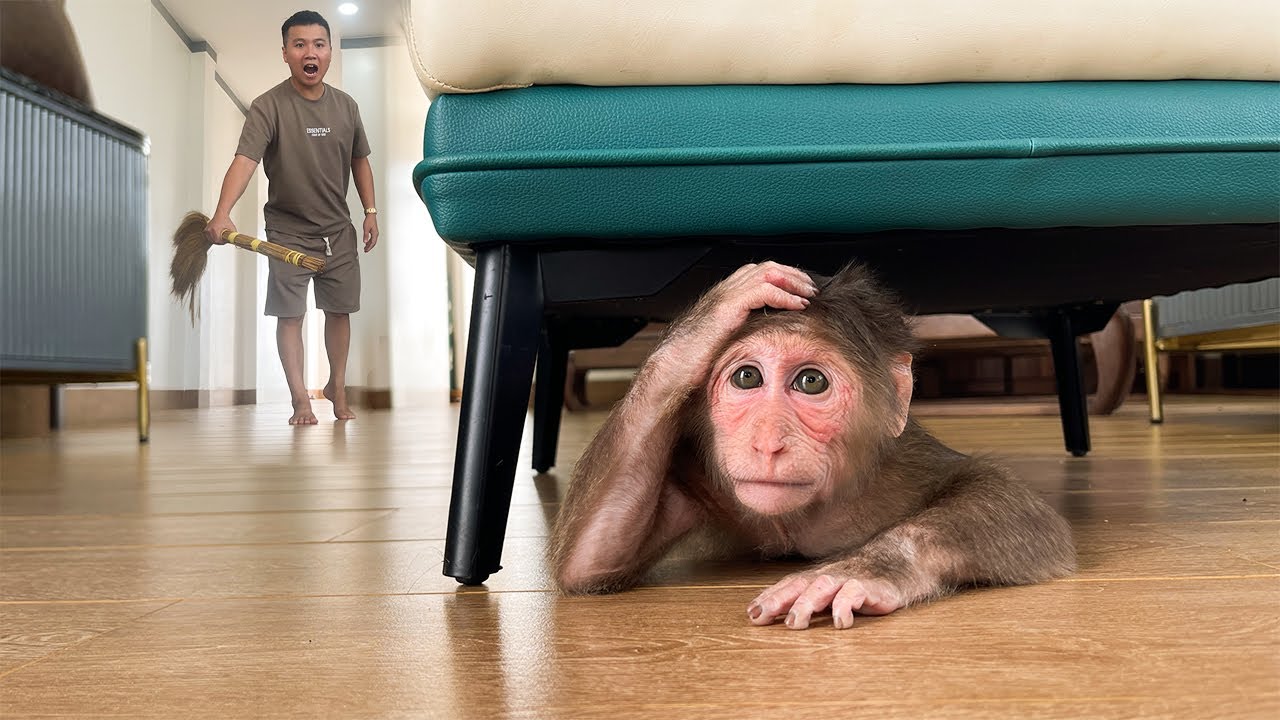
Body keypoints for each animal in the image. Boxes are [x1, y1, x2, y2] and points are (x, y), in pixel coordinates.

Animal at [548, 261, 1076, 630]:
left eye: (810, 382)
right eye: (746, 377)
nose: (767, 443)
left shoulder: (900, 466)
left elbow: (1007, 499)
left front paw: (867, 569)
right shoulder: (692, 475)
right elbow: (592, 563)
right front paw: (701, 328)